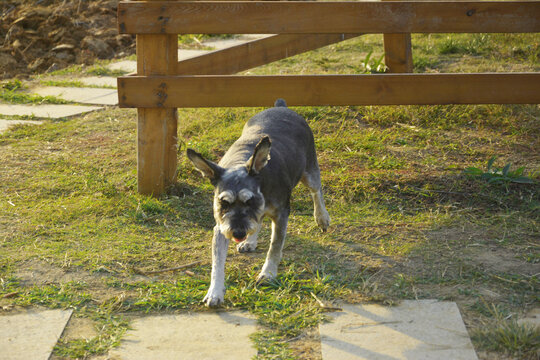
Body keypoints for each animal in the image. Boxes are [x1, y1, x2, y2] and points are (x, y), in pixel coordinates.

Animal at [187, 98, 330, 306]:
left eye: (250, 201)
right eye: (224, 203)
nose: (238, 233)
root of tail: (281, 107)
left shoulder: (281, 214)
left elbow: (275, 246)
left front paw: (268, 274)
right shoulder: (221, 227)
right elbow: (217, 263)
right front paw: (214, 292)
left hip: (310, 170)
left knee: (316, 191)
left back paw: (322, 217)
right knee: (260, 220)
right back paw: (250, 241)